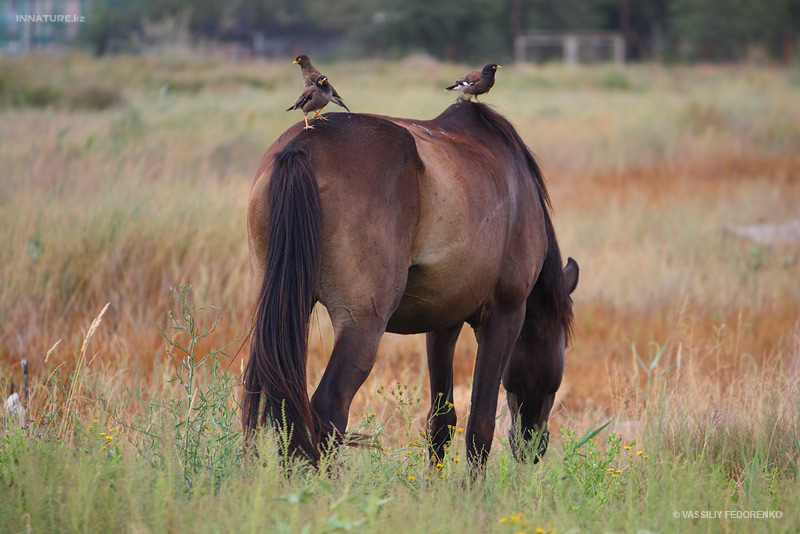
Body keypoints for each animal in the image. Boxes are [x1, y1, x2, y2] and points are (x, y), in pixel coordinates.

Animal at [241, 102, 580, 472]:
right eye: (561, 346)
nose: (534, 447)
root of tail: (301, 147)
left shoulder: (444, 321)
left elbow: (441, 422)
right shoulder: (506, 316)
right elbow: (480, 426)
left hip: (278, 312)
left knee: (261, 400)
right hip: (362, 325)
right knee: (329, 407)